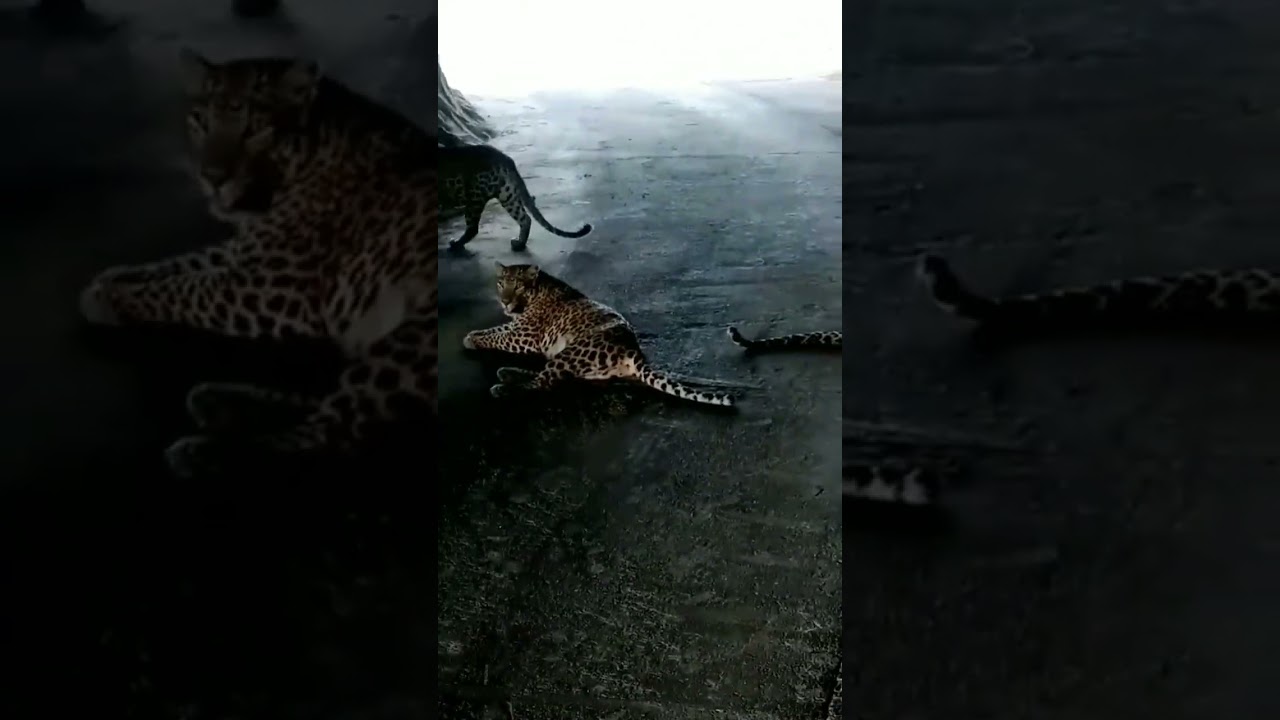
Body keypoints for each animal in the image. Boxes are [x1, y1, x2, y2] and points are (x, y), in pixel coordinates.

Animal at [76, 48, 437, 476]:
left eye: (253, 130)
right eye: (201, 121)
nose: (212, 178)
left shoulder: (280, 290)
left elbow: (186, 290)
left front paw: (109, 299)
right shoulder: (249, 252)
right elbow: (186, 265)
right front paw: (110, 280)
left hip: (415, 337)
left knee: (333, 437)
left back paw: (207, 452)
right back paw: (221, 402)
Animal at [441, 143, 593, 252]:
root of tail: (504, 158)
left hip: (475, 196)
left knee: (473, 228)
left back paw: (456, 244)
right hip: (507, 195)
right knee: (525, 218)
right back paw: (519, 244)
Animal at [462, 262, 734, 407]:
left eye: (518, 285)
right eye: (501, 283)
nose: (504, 301)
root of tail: (633, 349)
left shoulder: (526, 335)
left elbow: (496, 335)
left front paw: (471, 339)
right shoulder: (517, 327)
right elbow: (497, 329)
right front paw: (474, 334)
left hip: (573, 351)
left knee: (544, 383)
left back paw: (503, 387)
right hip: (577, 362)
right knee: (559, 378)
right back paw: (507, 373)